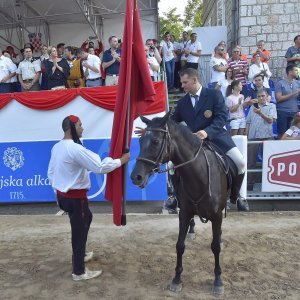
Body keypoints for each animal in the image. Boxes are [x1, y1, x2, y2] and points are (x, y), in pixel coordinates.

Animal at [130, 112, 229, 292]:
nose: (136, 177)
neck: (199, 176)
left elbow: (215, 247)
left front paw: (218, 281)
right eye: (140, 141)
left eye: (155, 141)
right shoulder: (184, 213)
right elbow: (179, 246)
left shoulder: (217, 215)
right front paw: (176, 279)